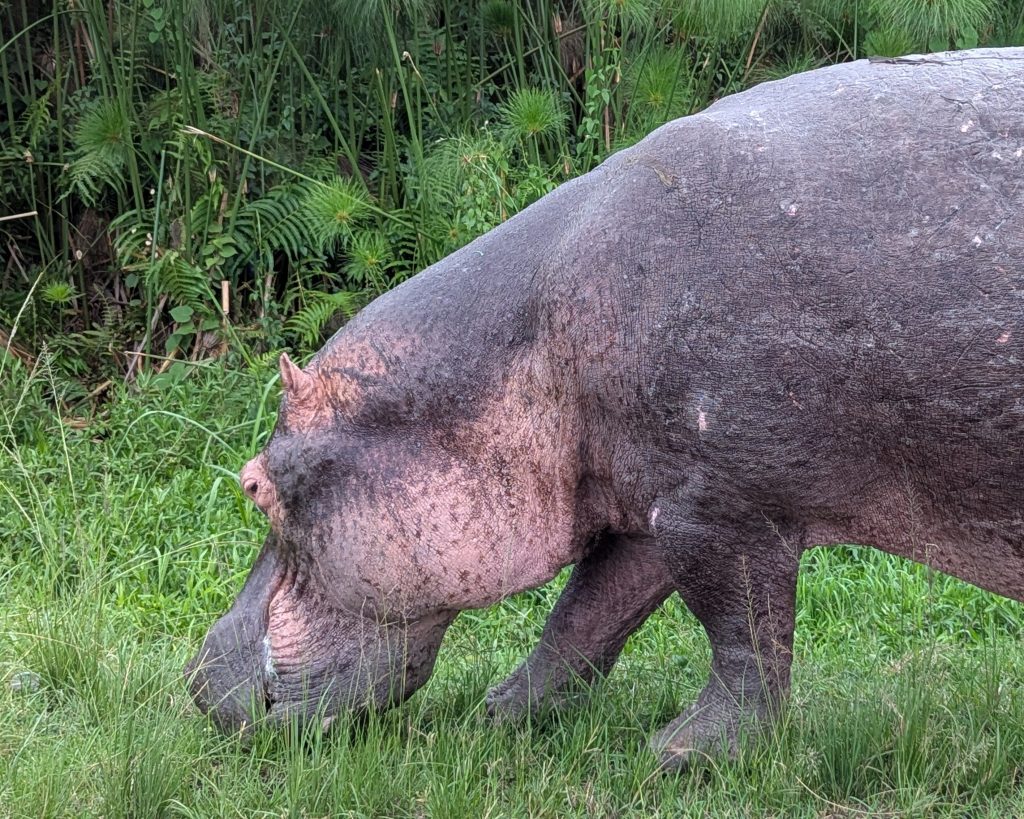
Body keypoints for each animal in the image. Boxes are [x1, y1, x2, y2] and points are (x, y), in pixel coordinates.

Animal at [186, 49, 1024, 769]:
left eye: (254, 485)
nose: (195, 676)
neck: (526, 339)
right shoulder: (648, 496)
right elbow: (585, 617)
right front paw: (494, 722)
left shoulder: (719, 508)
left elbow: (742, 630)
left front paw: (682, 755)